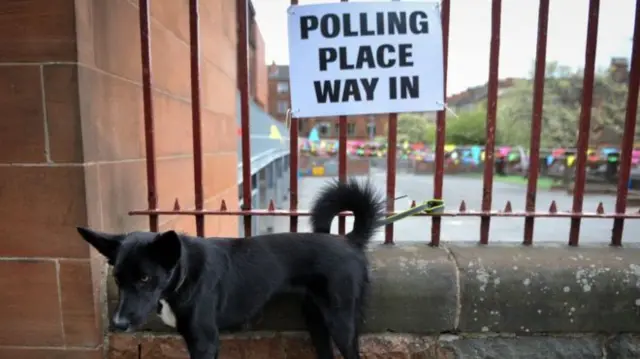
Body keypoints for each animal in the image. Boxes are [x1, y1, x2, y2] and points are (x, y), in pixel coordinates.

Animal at [77, 180, 382, 359]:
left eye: (144, 278)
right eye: (117, 280)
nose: (118, 324)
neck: (185, 273)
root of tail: (350, 240)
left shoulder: (205, 341)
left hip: (341, 321)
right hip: (316, 319)